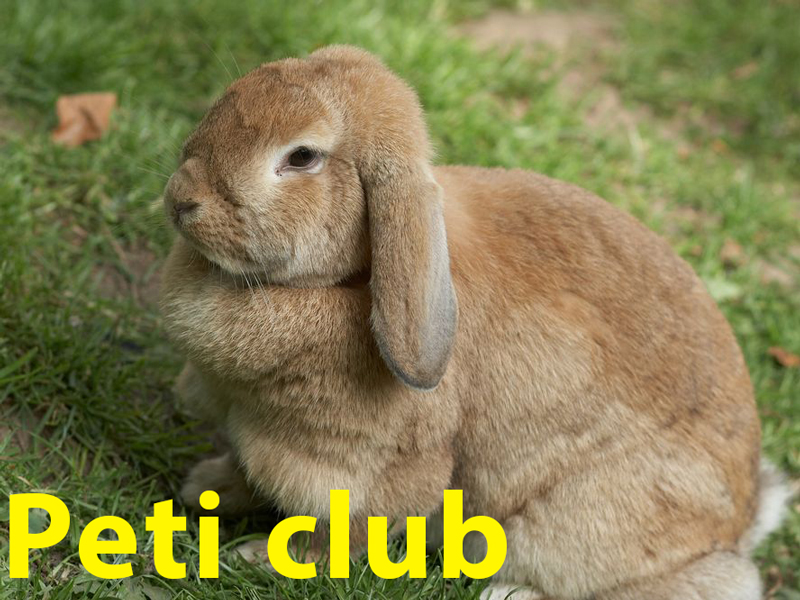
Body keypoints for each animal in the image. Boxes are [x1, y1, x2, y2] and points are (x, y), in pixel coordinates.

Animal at [159, 45, 789, 599]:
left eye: (302, 157)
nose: (181, 199)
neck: (355, 274)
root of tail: (740, 522)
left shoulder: (372, 464)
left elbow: (338, 536)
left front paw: (258, 557)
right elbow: (243, 470)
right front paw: (206, 487)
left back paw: (509, 591)